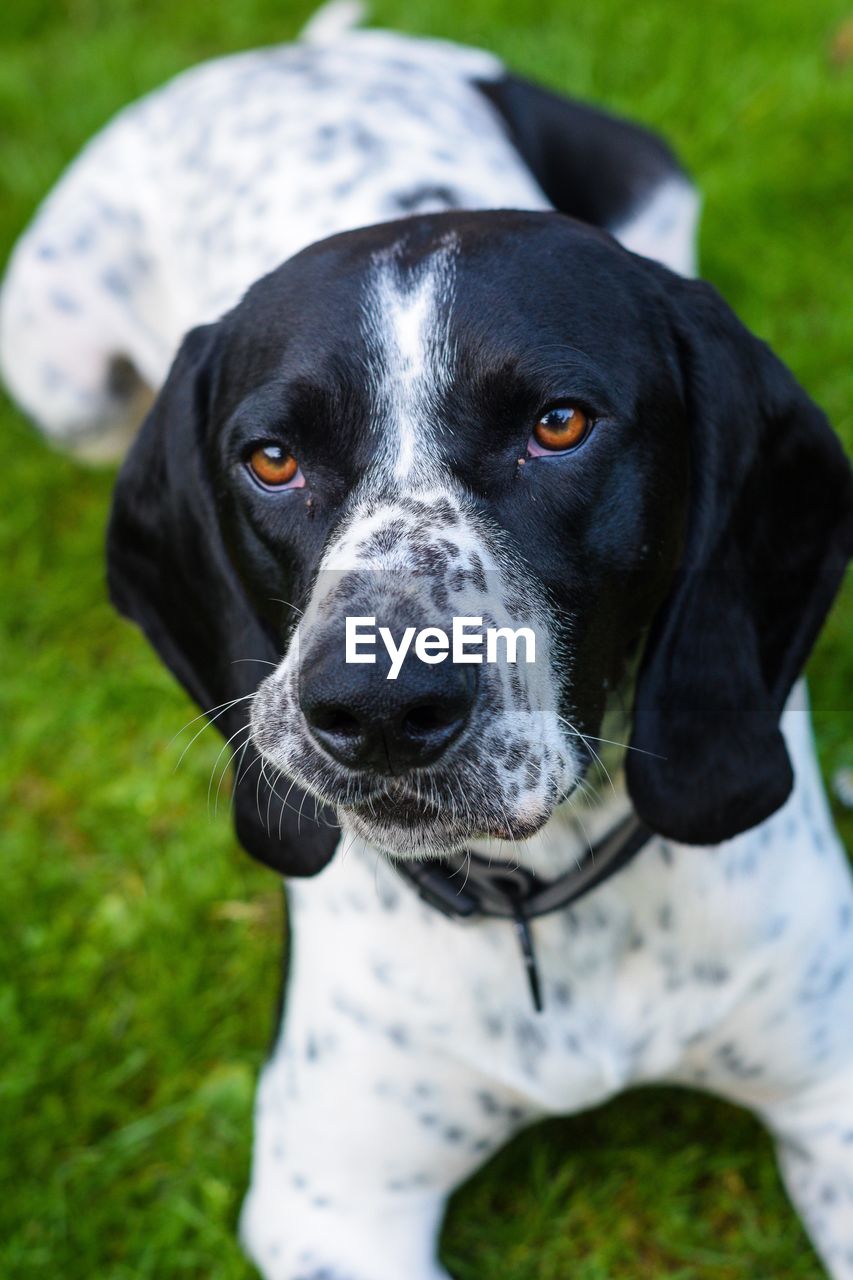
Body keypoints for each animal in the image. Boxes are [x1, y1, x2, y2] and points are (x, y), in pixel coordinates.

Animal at [1, 5, 850, 1274]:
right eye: (270, 458)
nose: (379, 708)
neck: (549, 908)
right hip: (54, 368)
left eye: (560, 424)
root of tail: (297, 56)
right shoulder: (332, 1198)